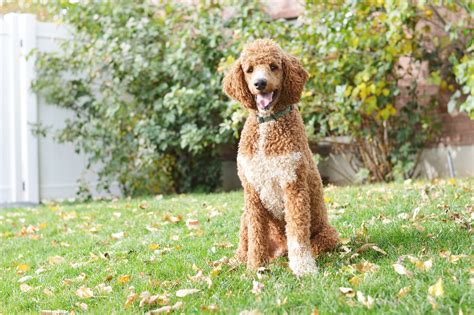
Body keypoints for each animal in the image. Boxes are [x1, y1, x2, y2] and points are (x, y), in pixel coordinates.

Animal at [222, 39, 336, 276]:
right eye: (249, 69)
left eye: (274, 66)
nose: (260, 83)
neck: (268, 124)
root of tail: (279, 252)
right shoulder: (252, 191)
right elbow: (256, 237)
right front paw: (254, 267)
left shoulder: (293, 185)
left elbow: (297, 234)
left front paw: (303, 268)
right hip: (245, 215)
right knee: (245, 241)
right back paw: (237, 262)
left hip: (326, 236)